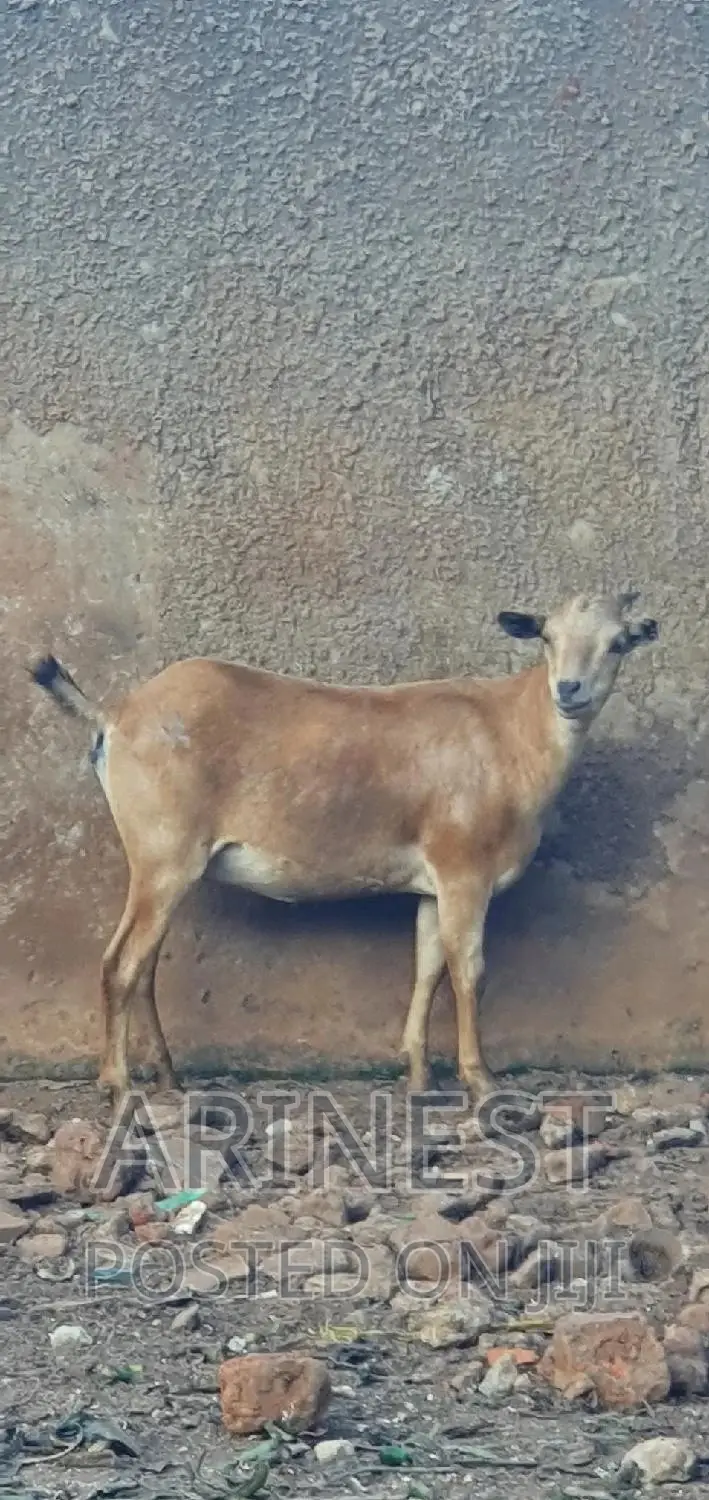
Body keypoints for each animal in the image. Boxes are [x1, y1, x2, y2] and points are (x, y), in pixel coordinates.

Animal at [30, 591, 657, 1105]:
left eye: (617, 642)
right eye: (547, 636)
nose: (569, 690)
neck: (509, 733)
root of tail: (117, 714)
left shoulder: (434, 885)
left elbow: (427, 965)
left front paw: (419, 1078)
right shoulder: (464, 871)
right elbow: (469, 969)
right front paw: (481, 1082)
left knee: (145, 966)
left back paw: (167, 1076)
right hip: (163, 857)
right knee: (121, 963)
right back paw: (119, 1084)